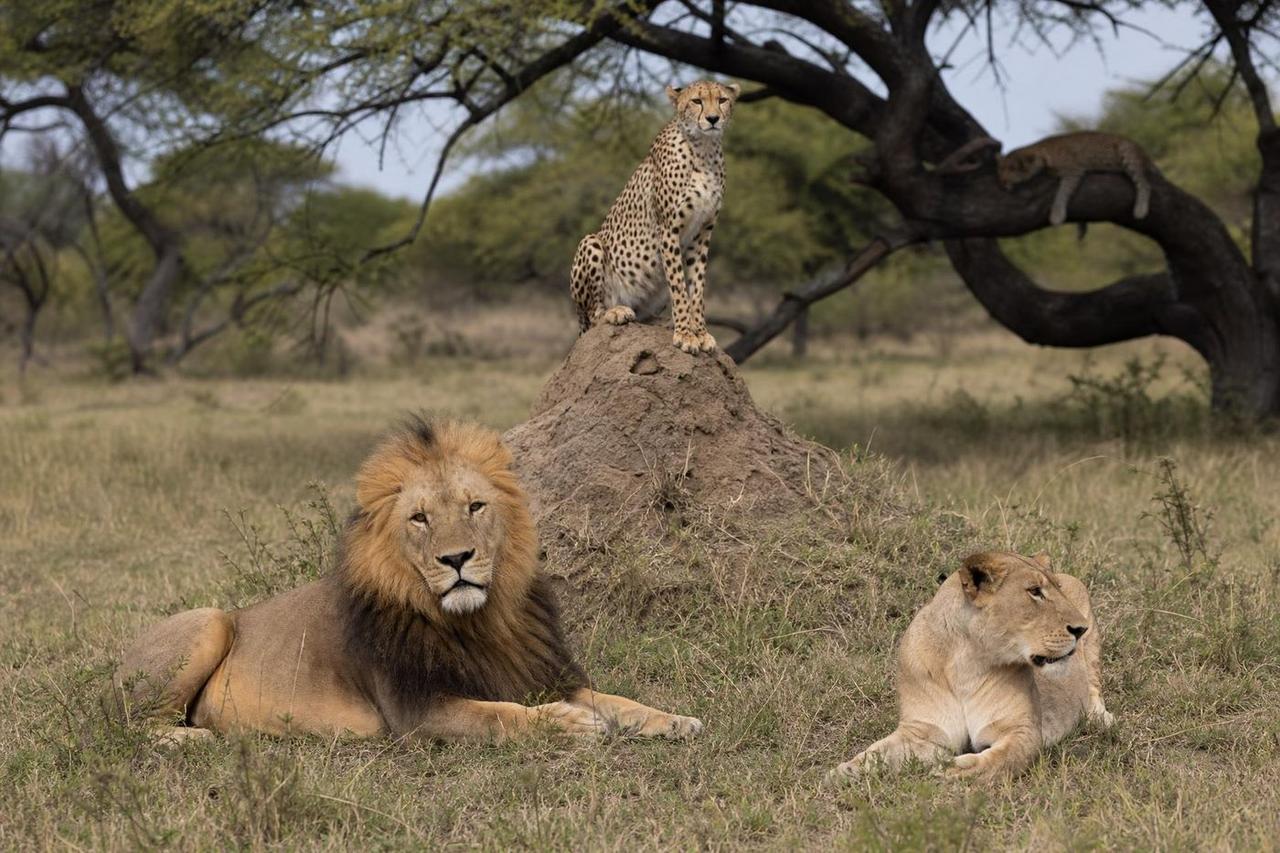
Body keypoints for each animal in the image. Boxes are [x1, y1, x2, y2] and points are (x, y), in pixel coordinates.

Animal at [108, 417, 702, 744]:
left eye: (475, 506)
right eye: (419, 518)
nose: (457, 558)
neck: (479, 622)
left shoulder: (541, 671)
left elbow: (619, 700)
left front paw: (677, 720)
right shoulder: (418, 713)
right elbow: (502, 716)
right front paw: (571, 725)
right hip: (208, 622)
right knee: (129, 725)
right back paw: (192, 740)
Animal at [833, 551, 1112, 782]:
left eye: (1057, 590)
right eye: (1034, 591)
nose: (1080, 628)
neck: (965, 660)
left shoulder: (1022, 730)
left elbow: (999, 760)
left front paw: (952, 769)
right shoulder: (924, 731)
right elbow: (878, 751)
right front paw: (847, 771)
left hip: (1092, 641)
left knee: (1094, 685)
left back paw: (1102, 719)